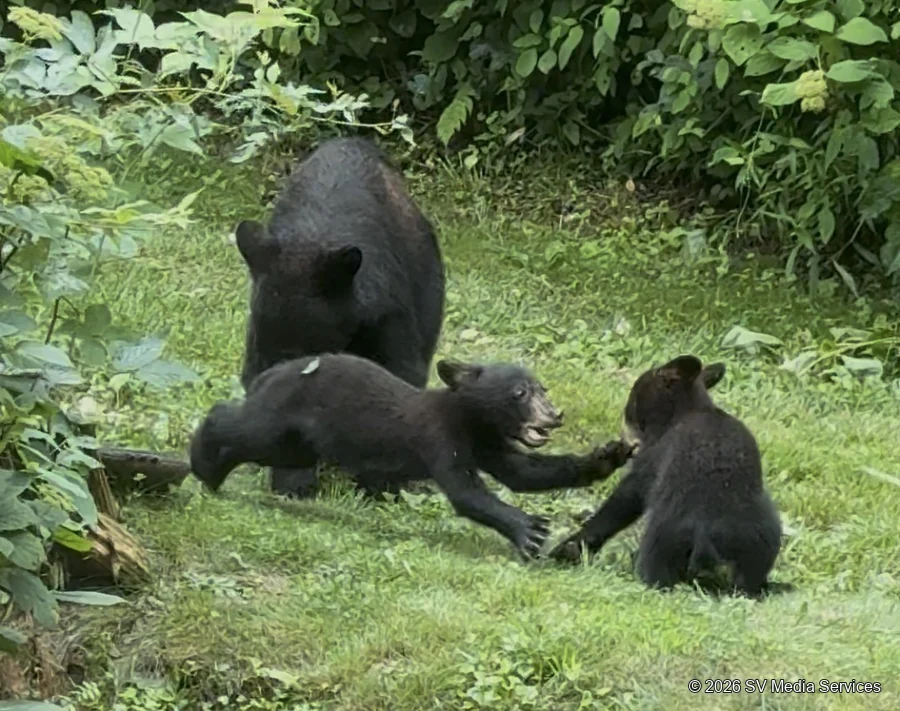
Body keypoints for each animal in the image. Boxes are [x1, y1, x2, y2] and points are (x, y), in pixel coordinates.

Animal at [189, 353, 635, 559]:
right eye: (520, 392)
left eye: (543, 388)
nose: (554, 415)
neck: (471, 419)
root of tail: (272, 373)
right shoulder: (439, 434)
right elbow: (465, 489)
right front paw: (530, 530)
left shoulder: (486, 441)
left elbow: (524, 472)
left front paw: (609, 454)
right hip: (288, 415)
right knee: (245, 428)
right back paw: (202, 456)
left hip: (301, 442)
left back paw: (213, 473)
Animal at [548, 355, 782, 598]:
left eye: (633, 400)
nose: (625, 431)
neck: (688, 410)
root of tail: (707, 538)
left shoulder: (654, 457)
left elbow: (624, 500)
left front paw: (572, 547)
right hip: (761, 536)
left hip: (666, 535)